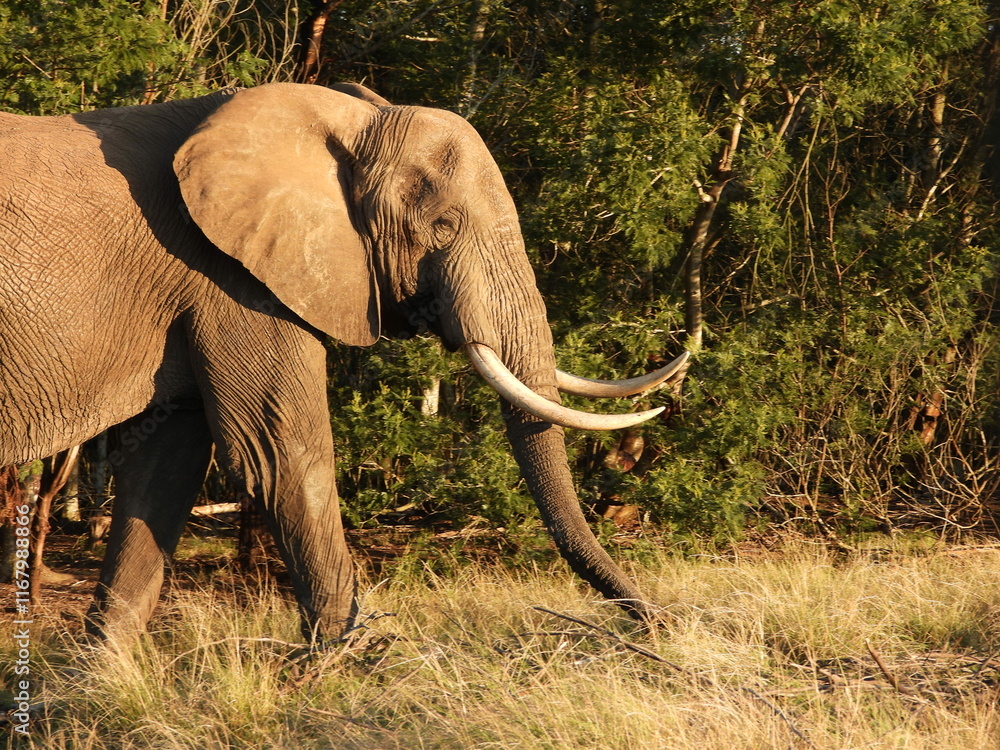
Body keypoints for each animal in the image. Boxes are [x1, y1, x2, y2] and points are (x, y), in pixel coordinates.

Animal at [0, 82, 686, 644]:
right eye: (443, 225)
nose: (658, 625)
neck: (343, 119)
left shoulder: (197, 289)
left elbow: (165, 469)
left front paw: (107, 682)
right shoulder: (230, 277)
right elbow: (281, 456)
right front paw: (353, 664)